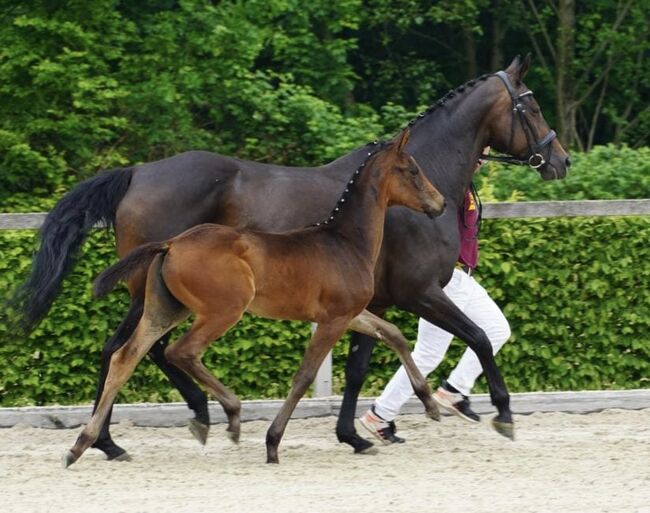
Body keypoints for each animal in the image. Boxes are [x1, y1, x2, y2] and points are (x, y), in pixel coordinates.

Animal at [62, 130, 446, 466]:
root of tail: (171, 243)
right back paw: (229, 416)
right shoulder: (333, 319)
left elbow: (393, 335)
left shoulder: (351, 313)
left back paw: (82, 445)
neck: (345, 241)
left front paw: (430, 404)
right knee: (180, 351)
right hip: (223, 310)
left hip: (165, 309)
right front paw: (272, 444)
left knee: (125, 356)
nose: (439, 203)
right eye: (413, 169)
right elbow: (304, 375)